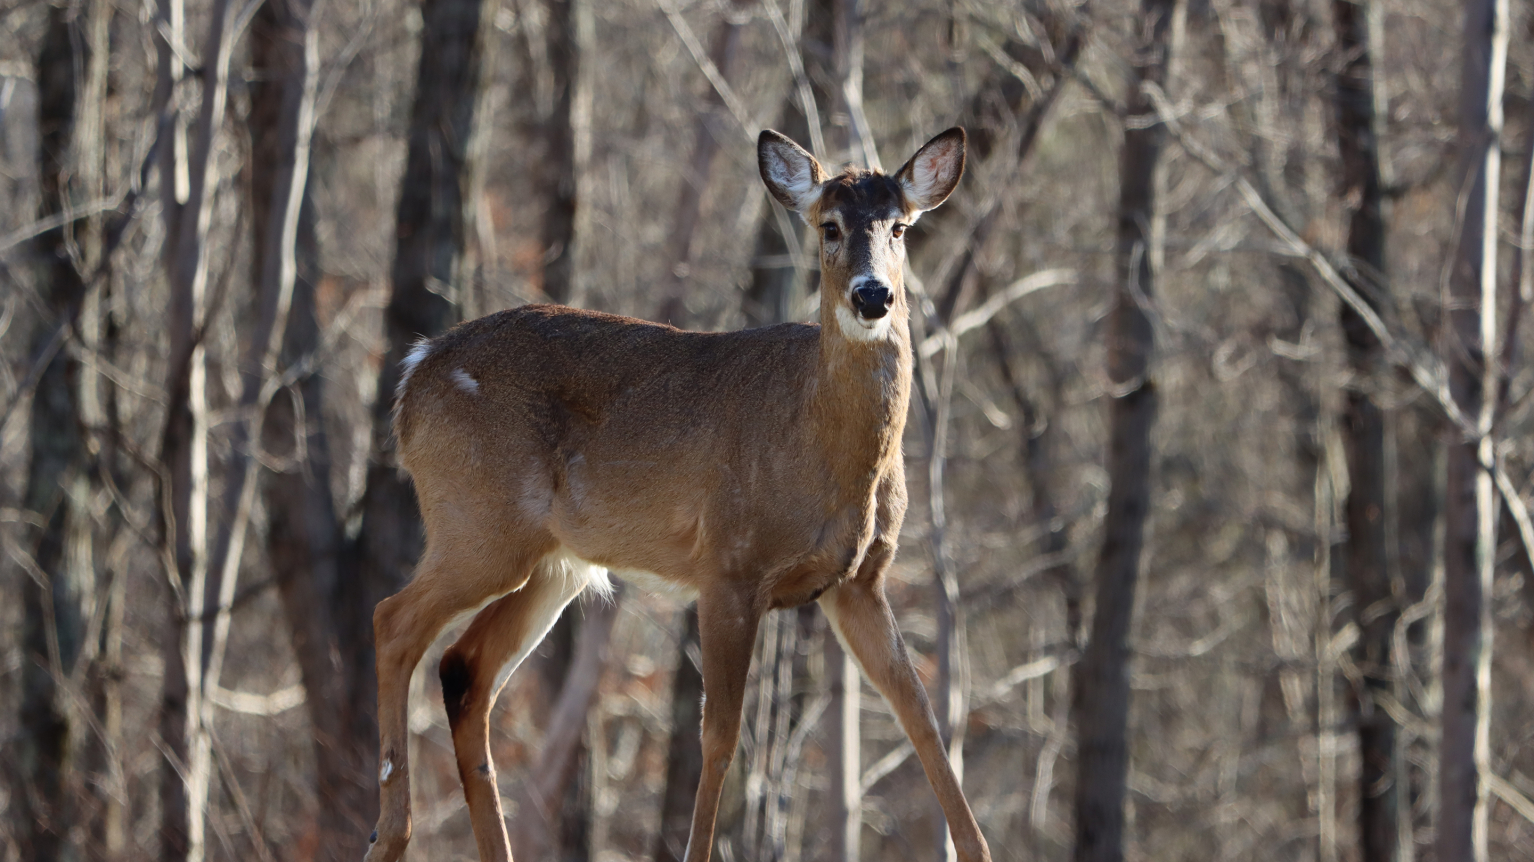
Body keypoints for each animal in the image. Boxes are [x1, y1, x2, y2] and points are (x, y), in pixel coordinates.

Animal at [362, 127, 994, 858]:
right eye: (829, 226)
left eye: (899, 227)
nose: (873, 296)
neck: (827, 450)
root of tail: (412, 375)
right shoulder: (729, 565)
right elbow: (718, 737)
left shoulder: (858, 581)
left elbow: (919, 712)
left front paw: (977, 848)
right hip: (478, 522)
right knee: (393, 621)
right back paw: (390, 833)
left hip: (554, 563)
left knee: (466, 668)